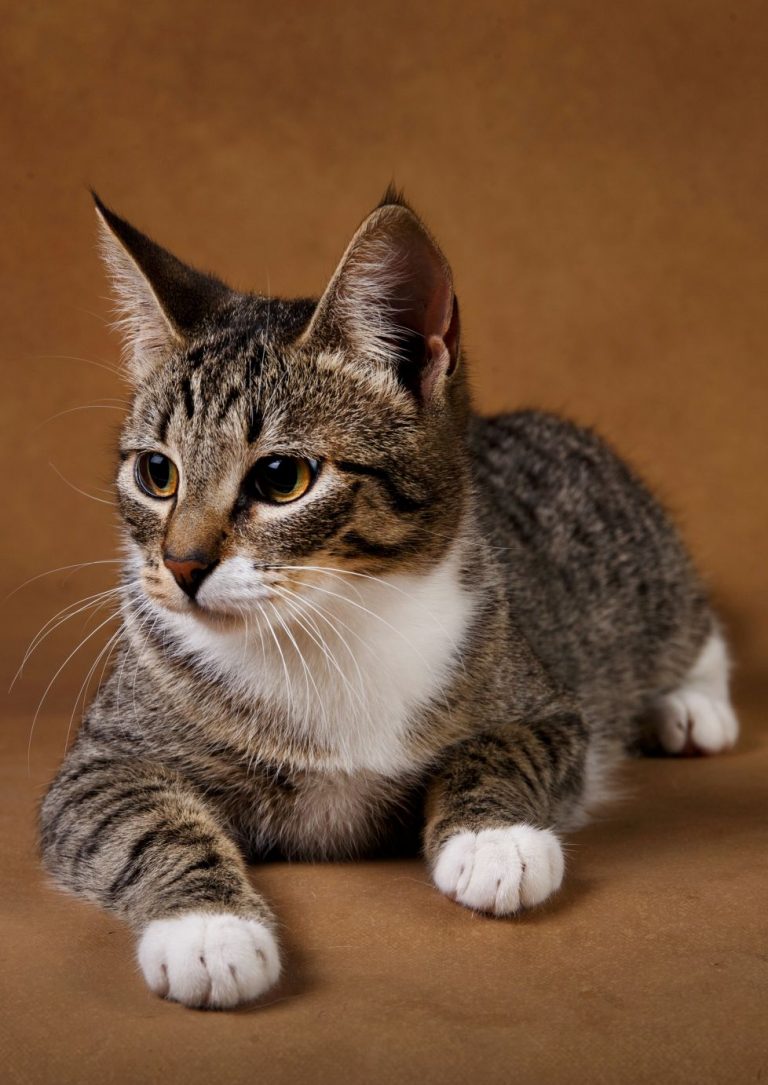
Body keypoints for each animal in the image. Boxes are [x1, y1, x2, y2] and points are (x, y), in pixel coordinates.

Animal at [39, 186, 741, 1006]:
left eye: (281, 478)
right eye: (157, 473)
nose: (181, 564)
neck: (325, 626)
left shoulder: (548, 704)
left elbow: (508, 746)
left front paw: (493, 840)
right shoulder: (101, 760)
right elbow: (139, 819)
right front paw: (208, 929)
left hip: (642, 573)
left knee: (693, 628)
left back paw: (690, 706)